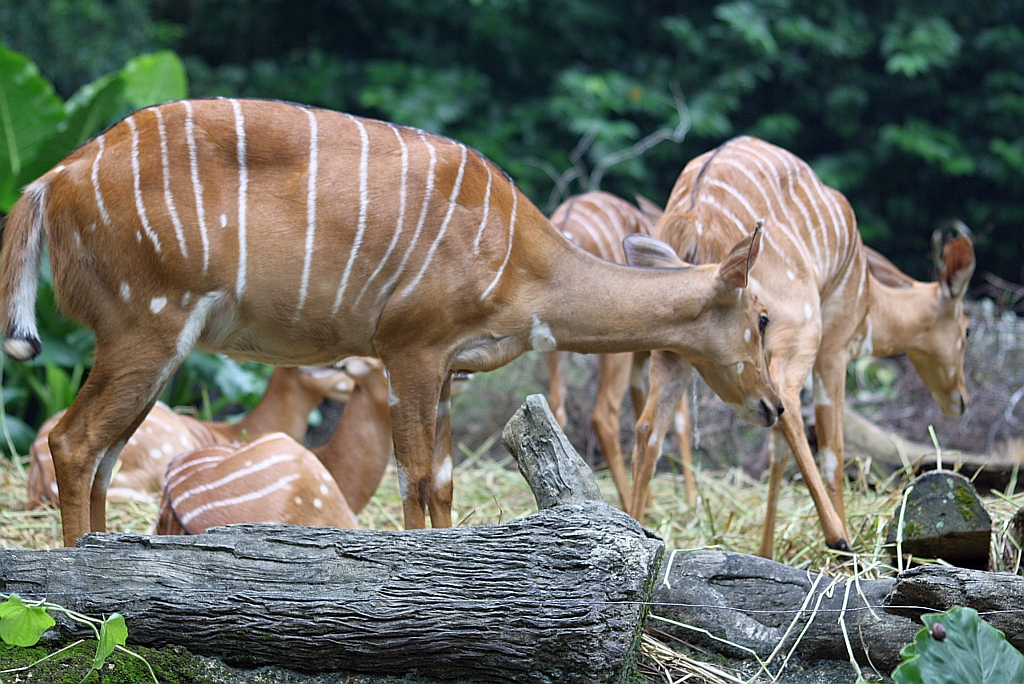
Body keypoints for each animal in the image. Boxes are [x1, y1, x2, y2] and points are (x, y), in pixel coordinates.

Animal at [626, 135, 970, 557]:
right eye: (967, 328)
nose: (961, 401)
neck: (867, 299)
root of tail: (693, 221)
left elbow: (777, 448)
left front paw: (765, 551)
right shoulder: (833, 347)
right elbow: (832, 446)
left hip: (676, 351)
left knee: (649, 428)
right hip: (799, 328)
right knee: (787, 407)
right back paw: (839, 537)